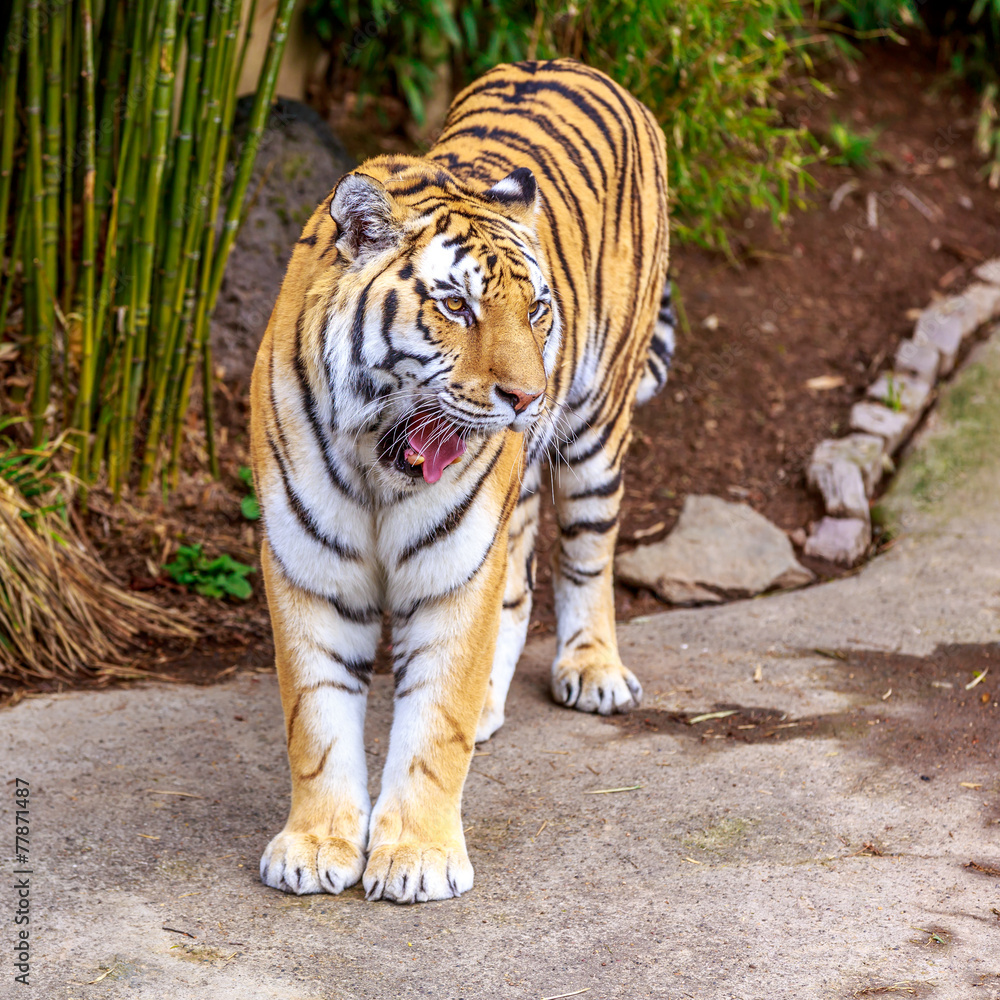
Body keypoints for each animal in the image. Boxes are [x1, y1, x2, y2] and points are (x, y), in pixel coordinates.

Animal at [249, 58, 674, 904]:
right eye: (455, 305)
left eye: (537, 309)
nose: (527, 398)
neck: (377, 449)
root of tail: (576, 63)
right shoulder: (309, 567)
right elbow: (316, 719)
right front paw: (316, 844)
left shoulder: (453, 567)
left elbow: (433, 724)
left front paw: (415, 856)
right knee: (517, 583)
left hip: (597, 429)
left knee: (587, 556)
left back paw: (593, 669)